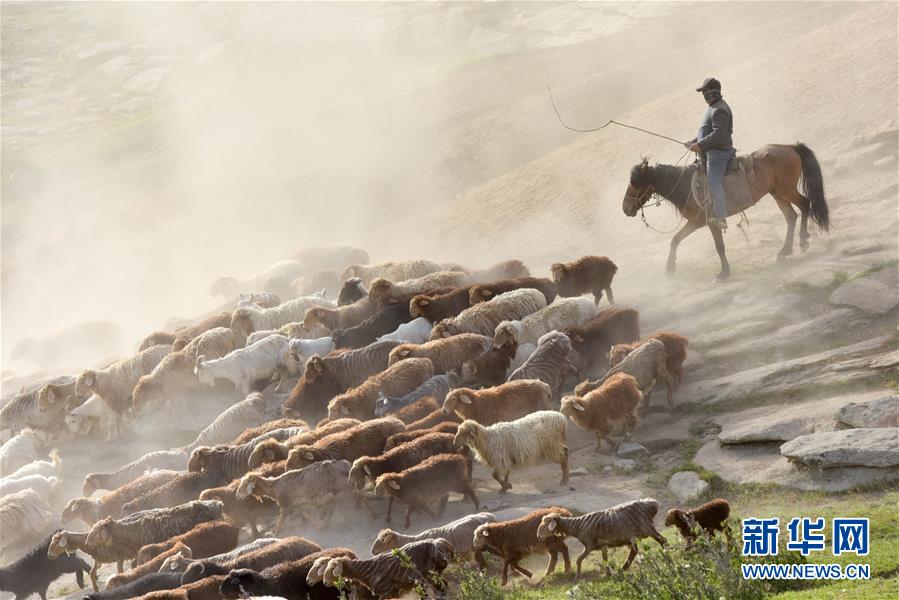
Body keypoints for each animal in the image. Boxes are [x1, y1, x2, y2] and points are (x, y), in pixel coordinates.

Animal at [622, 143, 829, 282]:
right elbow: (675, 240)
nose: (625, 208)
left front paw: (723, 273)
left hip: (786, 190)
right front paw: (670, 268)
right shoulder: (696, 222)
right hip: (777, 193)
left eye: (635, 183)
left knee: (804, 204)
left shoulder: (713, 222)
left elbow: (719, 246)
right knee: (791, 217)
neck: (684, 185)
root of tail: (788, 147)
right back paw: (784, 251)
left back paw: (803, 240)